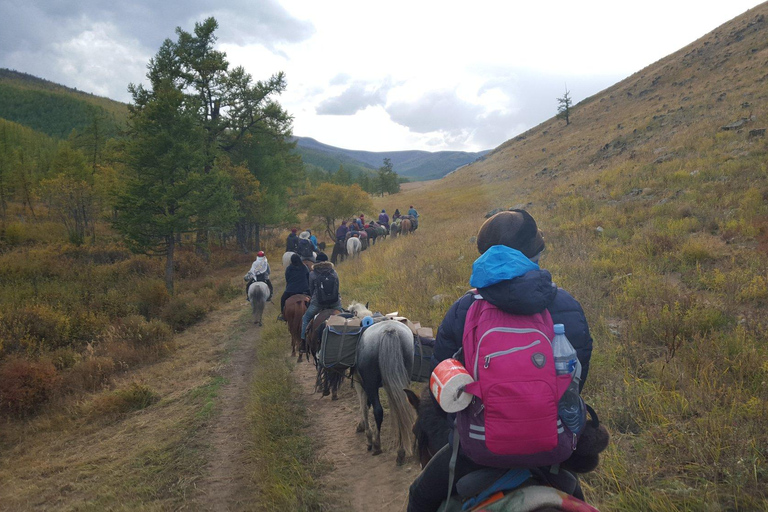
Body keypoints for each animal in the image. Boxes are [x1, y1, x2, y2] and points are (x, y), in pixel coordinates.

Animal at [352, 306, 416, 466]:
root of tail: (389, 331)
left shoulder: (360, 383)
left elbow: (364, 406)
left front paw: (367, 436)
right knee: (401, 409)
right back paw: (401, 452)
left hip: (370, 384)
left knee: (378, 411)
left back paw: (377, 445)